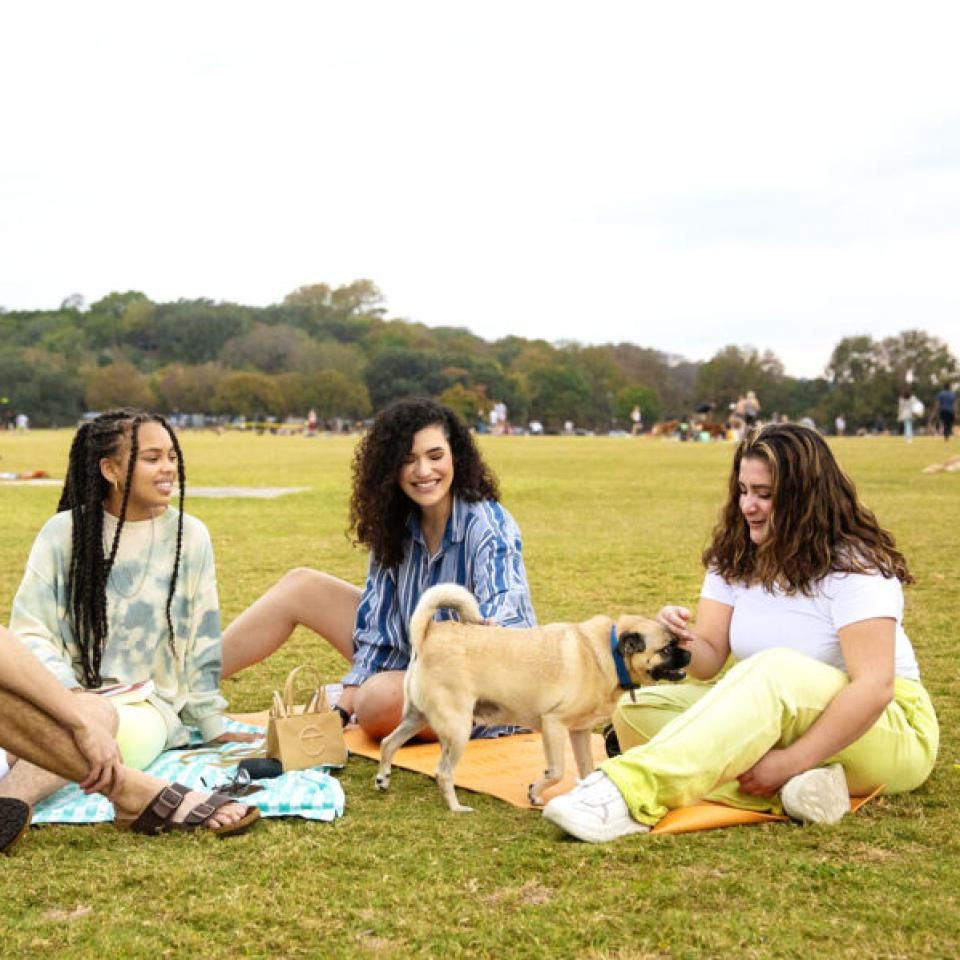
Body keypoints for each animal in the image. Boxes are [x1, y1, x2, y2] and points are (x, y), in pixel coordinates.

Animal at [376, 580, 688, 812]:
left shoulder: (579, 732)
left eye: (677, 643)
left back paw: (383, 779)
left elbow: (586, 768)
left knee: (388, 743)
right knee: (443, 772)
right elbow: (557, 771)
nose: (689, 652)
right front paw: (535, 792)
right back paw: (456, 807)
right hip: (459, 728)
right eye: (667, 649)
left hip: (417, 718)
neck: (608, 654)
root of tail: (429, 633)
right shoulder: (554, 725)